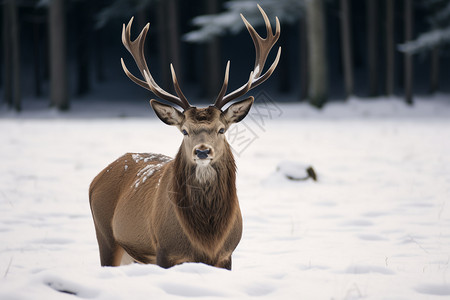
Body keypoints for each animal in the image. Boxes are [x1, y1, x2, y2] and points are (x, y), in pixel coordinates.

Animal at [89, 4, 282, 270]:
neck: (207, 239)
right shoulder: (165, 251)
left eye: (221, 129)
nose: (202, 151)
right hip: (105, 236)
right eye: (184, 130)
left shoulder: (227, 255)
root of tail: (96, 178)